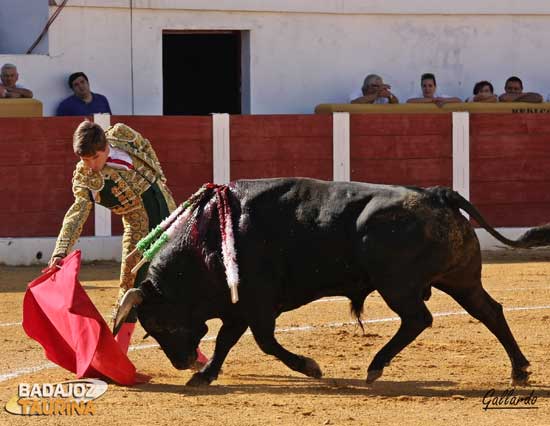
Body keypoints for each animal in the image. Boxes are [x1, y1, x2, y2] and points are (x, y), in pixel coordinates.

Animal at [113, 177, 550, 386]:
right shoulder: (239, 306)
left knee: (418, 319)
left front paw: (310, 367)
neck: (206, 241)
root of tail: (437, 195)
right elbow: (226, 342)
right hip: (460, 279)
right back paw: (519, 370)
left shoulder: (257, 303)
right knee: (489, 311)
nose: (183, 362)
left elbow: (263, 342)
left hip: (397, 284)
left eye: (160, 323)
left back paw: (375, 367)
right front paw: (204, 376)